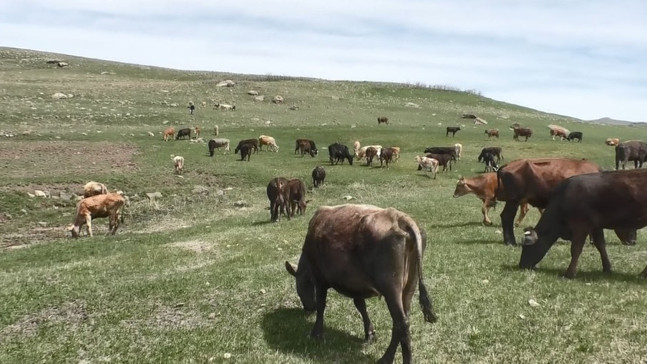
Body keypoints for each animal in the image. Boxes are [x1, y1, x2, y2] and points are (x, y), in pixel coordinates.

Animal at [286, 205, 438, 364]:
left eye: (301, 286)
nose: (308, 310)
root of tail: (401, 218)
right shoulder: (356, 285)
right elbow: (361, 306)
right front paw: (369, 333)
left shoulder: (320, 279)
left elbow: (322, 305)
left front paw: (316, 333)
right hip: (408, 287)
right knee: (401, 321)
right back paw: (386, 358)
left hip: (391, 288)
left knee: (402, 323)